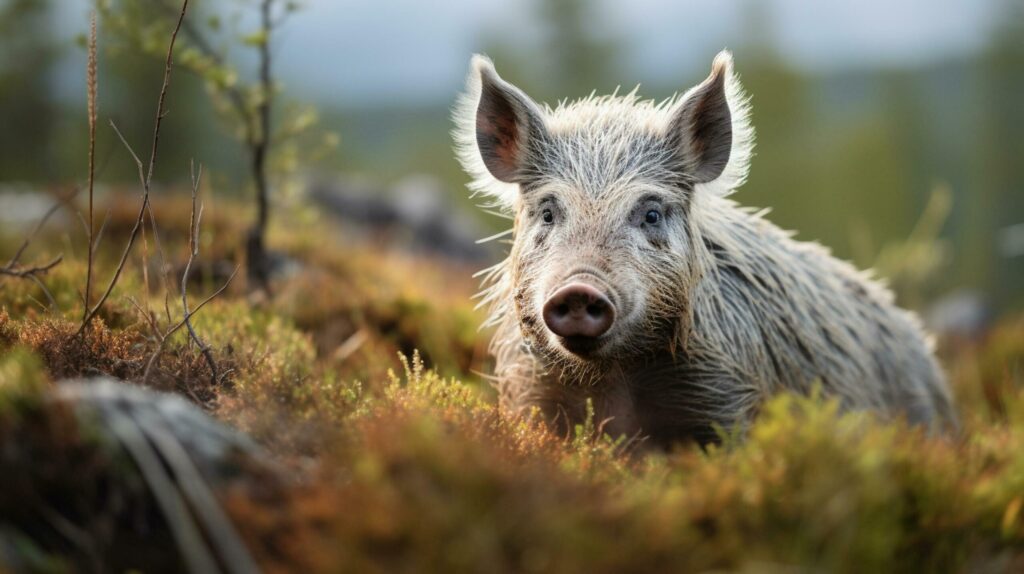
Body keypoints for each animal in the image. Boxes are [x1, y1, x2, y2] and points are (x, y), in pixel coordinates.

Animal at [452, 51, 954, 446]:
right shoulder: (528, 392)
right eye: (548, 212)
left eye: (651, 213)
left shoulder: (726, 397)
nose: (579, 289)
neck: (615, 376)